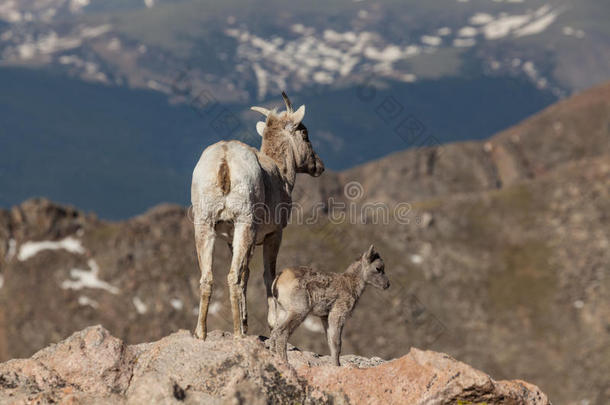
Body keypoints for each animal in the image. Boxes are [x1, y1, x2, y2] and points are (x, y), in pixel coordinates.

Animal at [190, 91, 324, 338]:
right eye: (305, 133)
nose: (318, 166)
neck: (281, 174)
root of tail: (224, 160)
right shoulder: (273, 235)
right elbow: (267, 276)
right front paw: (271, 324)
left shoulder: (234, 240)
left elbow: (247, 274)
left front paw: (247, 322)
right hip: (244, 223)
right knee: (232, 276)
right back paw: (237, 334)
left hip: (205, 225)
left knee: (208, 277)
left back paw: (201, 334)